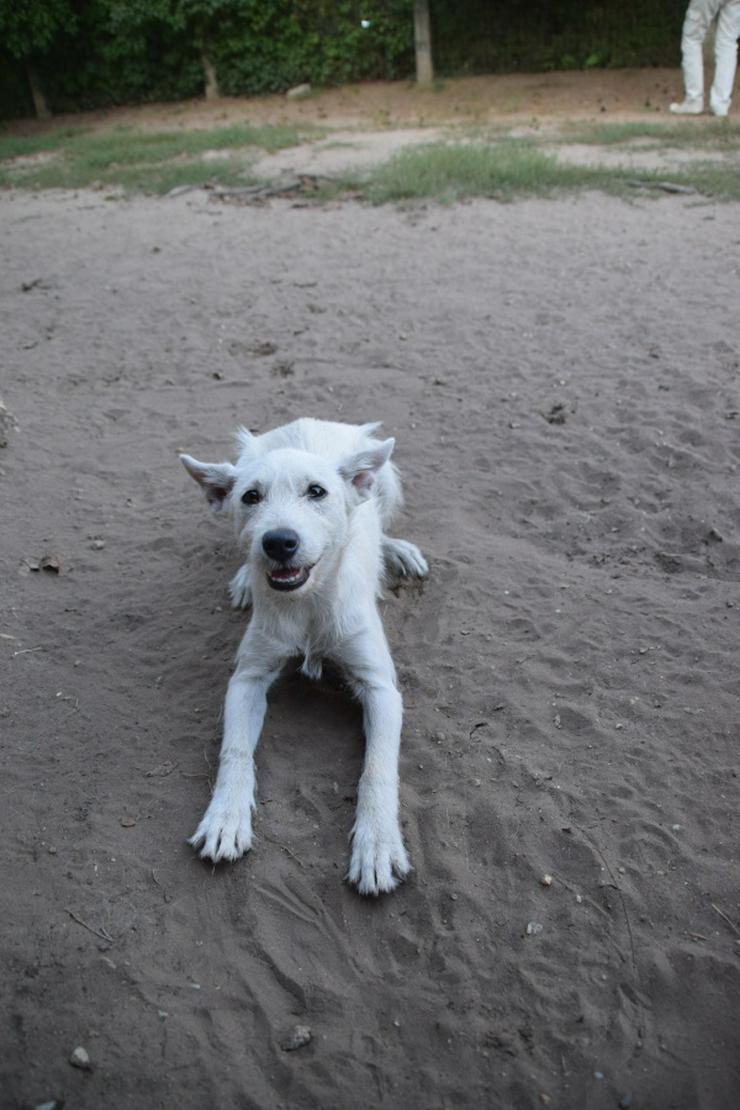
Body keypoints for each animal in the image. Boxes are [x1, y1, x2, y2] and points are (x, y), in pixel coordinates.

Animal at [178, 417, 428, 892]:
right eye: (250, 497)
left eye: (316, 491)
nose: (278, 542)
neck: (308, 603)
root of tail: (306, 421)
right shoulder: (248, 678)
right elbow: (234, 752)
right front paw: (225, 818)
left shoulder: (381, 687)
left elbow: (378, 768)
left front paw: (377, 844)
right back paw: (245, 576)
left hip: (385, 478)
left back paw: (396, 549)